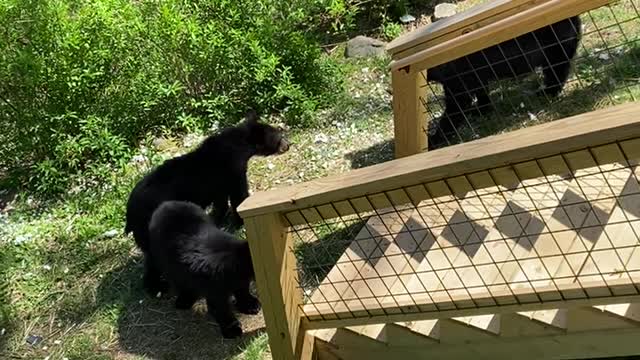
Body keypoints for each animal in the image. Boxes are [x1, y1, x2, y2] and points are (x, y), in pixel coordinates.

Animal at [124, 109, 288, 292]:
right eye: (279, 136)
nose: (288, 145)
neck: (239, 145)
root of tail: (129, 214)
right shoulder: (233, 169)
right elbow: (238, 195)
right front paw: (238, 221)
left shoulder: (219, 182)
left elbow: (220, 200)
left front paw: (218, 219)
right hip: (150, 225)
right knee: (153, 258)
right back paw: (157, 287)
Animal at [148, 201, 260, 338]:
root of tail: (165, 204)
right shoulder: (215, 290)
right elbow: (221, 309)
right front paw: (232, 329)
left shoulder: (238, 280)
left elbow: (242, 290)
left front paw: (250, 304)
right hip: (165, 259)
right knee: (178, 279)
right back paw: (184, 300)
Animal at [428, 16, 584, 148]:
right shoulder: (475, 76)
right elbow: (481, 92)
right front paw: (482, 110)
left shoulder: (458, 80)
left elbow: (455, 109)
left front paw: (434, 140)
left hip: (554, 47)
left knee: (557, 70)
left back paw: (547, 92)